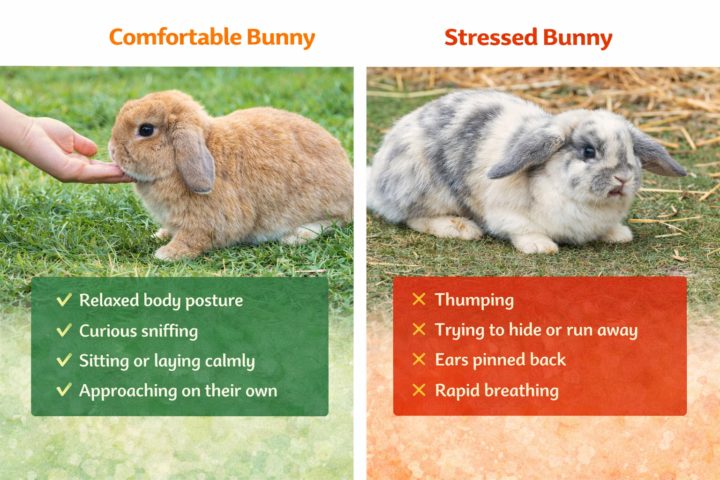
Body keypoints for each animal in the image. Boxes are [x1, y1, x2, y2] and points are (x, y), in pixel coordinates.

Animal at [109, 90, 353, 260]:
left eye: (146, 130)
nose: (111, 149)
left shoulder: (206, 223)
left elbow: (193, 239)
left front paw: (167, 254)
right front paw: (159, 236)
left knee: (335, 221)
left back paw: (296, 236)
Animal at [366, 89, 686, 254]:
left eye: (632, 152)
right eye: (588, 151)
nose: (623, 178)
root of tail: (377, 176)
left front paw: (618, 234)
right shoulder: (507, 215)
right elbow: (521, 231)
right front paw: (541, 246)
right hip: (424, 189)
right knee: (413, 218)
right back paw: (462, 229)